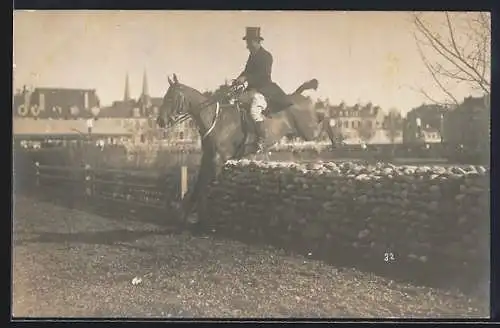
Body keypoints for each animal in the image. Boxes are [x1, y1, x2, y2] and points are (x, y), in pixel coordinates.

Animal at [159, 74, 340, 228]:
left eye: (170, 98)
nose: (160, 121)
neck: (215, 120)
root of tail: (297, 96)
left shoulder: (217, 160)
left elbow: (202, 186)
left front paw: (190, 216)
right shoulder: (208, 158)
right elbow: (198, 186)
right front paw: (189, 215)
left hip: (308, 130)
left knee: (325, 120)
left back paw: (335, 143)